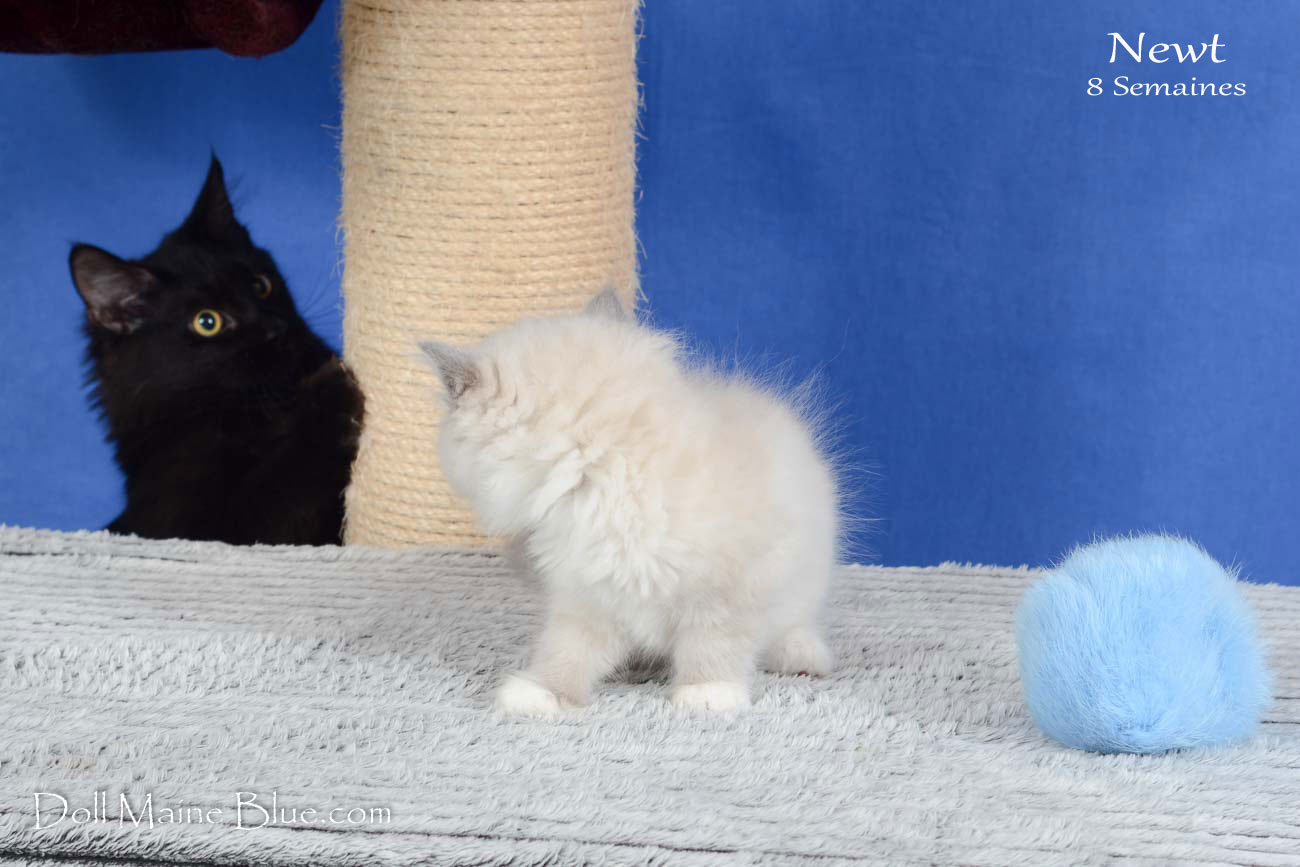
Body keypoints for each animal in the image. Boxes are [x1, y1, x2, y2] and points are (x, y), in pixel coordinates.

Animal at [69, 156, 363, 546]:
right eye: (207, 322)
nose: (277, 328)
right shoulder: (207, 527)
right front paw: (330, 394)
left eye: (261, 285)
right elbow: (285, 477)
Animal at [421, 289, 840, 715]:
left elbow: (714, 641)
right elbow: (567, 651)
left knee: (793, 624)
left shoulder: (730, 586)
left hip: (806, 577)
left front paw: (707, 693)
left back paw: (801, 655)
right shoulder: (588, 595)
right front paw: (543, 693)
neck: (610, 470)